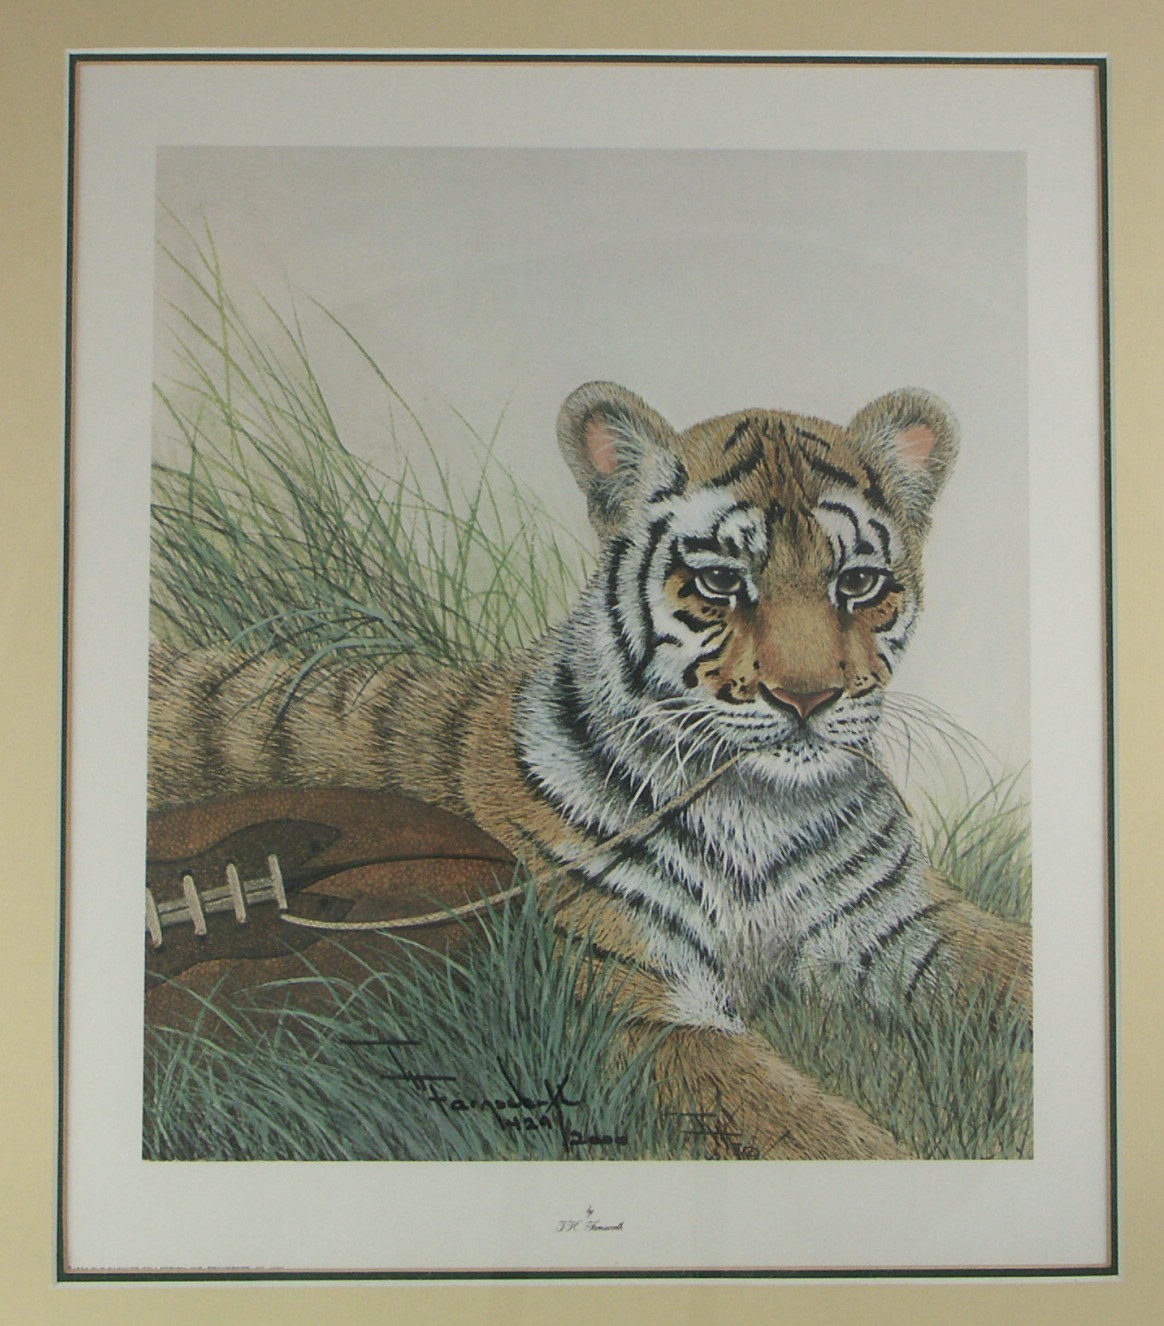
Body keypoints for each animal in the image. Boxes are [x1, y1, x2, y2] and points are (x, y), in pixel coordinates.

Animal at [149, 380, 1032, 1160]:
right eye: (721, 580)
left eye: (858, 581)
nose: (807, 699)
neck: (762, 807)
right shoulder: (633, 1004)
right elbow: (801, 1123)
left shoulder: (900, 922)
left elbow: (1017, 965)